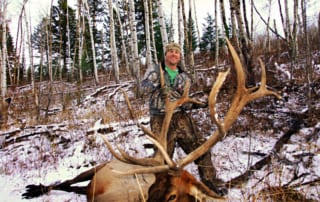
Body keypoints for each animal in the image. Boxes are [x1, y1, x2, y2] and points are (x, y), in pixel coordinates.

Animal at [21, 38, 280, 201]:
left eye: (172, 196)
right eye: (151, 189)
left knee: (75, 188)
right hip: (96, 167)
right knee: (64, 182)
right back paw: (33, 189)